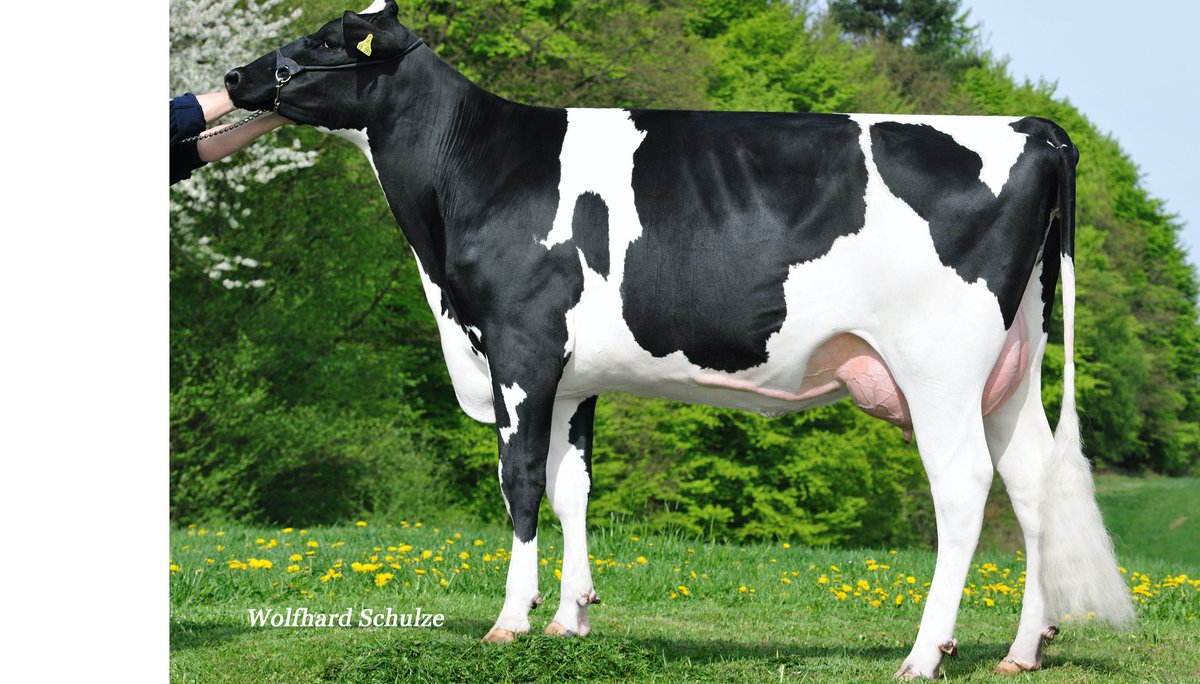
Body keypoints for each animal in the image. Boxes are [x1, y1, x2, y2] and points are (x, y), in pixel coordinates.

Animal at [223, 1, 1133, 678]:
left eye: (324, 40)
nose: (235, 77)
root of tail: (1031, 126)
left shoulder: (520, 345)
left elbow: (521, 485)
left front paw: (511, 621)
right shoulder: (572, 375)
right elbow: (573, 488)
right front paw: (571, 619)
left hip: (939, 364)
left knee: (964, 487)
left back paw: (924, 652)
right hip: (1010, 367)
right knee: (1031, 484)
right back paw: (1023, 649)